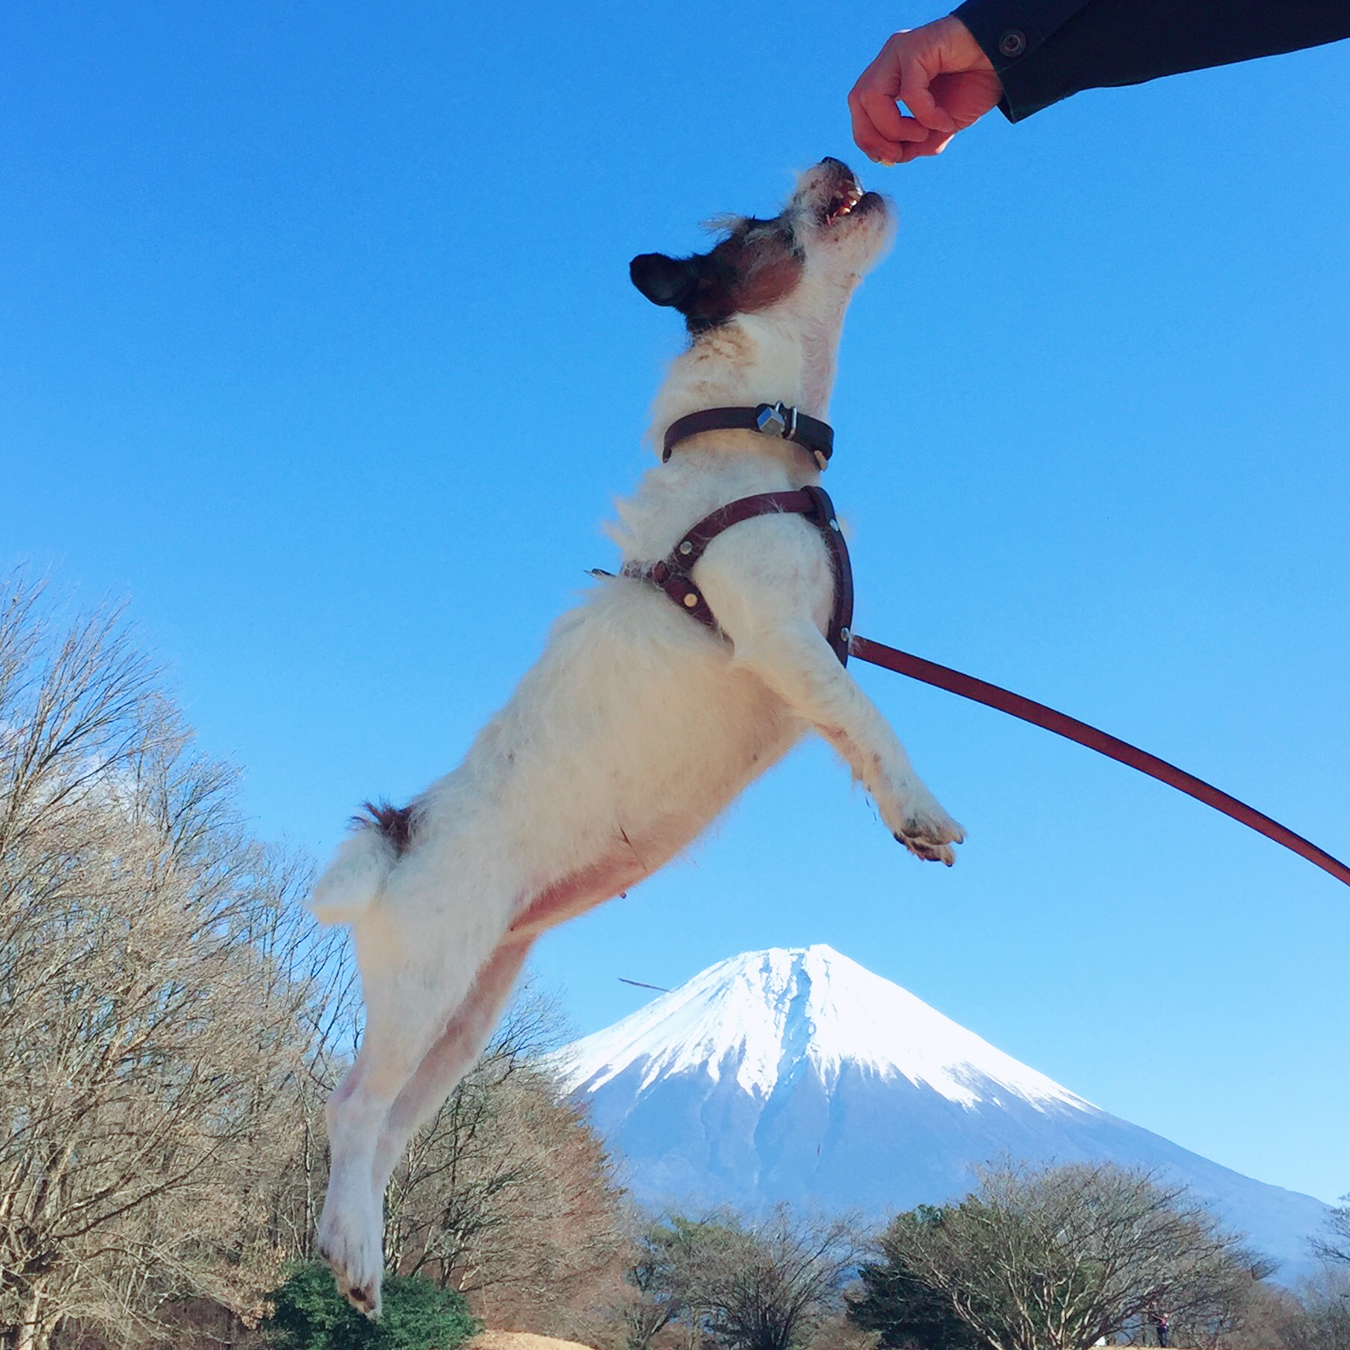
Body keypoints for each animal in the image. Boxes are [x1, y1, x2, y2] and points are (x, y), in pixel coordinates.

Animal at [309, 160, 961, 1317]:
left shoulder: (815, 658)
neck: (752, 435)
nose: (835, 161)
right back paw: (352, 1257)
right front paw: (918, 810)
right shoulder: (785, 641)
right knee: (349, 1109)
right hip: (425, 988)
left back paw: (362, 1253)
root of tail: (395, 833)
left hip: (469, 1015)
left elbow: (854, 722)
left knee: (384, 1131)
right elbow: (869, 721)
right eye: (756, 226)